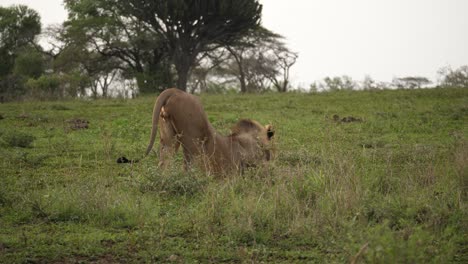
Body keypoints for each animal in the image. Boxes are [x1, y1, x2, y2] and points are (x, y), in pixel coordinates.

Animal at [118, 87, 274, 174]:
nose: (269, 156)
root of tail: (175, 91)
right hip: (192, 140)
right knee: (190, 165)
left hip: (169, 138)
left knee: (164, 162)